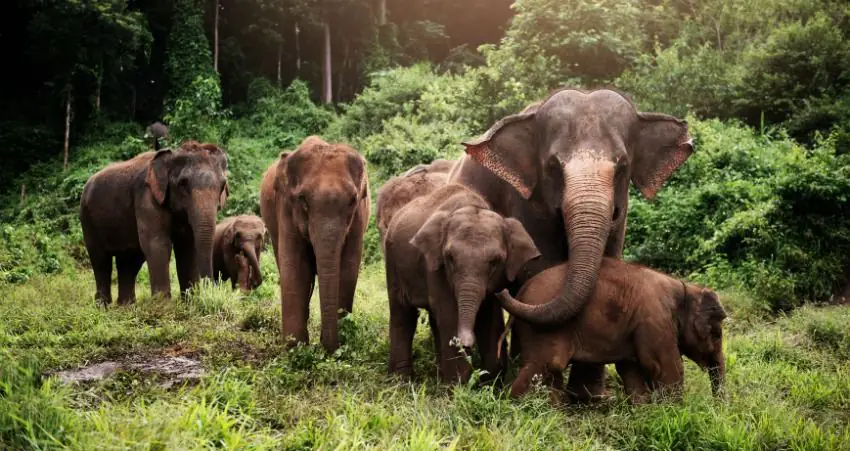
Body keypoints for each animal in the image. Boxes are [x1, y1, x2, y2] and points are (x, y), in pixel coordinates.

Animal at [80, 141, 229, 305]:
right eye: (183, 183)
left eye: (223, 185)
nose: (210, 296)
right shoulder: (147, 198)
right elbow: (157, 244)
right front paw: (163, 306)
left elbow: (187, 247)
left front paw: (189, 303)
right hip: (87, 218)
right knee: (100, 259)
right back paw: (103, 306)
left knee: (129, 260)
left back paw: (126, 306)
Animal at [259, 136, 370, 352]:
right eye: (303, 199)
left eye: (352, 201)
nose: (328, 348)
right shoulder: (286, 208)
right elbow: (295, 268)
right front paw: (296, 348)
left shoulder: (358, 217)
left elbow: (348, 269)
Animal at [383, 183, 540, 382]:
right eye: (450, 258)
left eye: (495, 261)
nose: (466, 344)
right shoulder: (435, 267)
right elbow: (450, 314)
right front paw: (457, 385)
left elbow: (490, 317)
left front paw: (492, 382)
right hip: (392, 261)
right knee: (403, 313)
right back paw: (401, 382)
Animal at [450, 88, 694, 401]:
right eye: (553, 166)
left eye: (622, 165)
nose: (502, 290)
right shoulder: (527, 204)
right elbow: (540, 268)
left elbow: (608, 262)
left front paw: (589, 398)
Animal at [498, 258, 726, 404]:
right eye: (716, 334)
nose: (719, 410)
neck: (684, 289)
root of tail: (521, 291)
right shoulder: (655, 320)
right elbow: (667, 368)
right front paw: (675, 412)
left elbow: (631, 369)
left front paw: (645, 412)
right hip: (544, 330)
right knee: (546, 365)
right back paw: (515, 407)